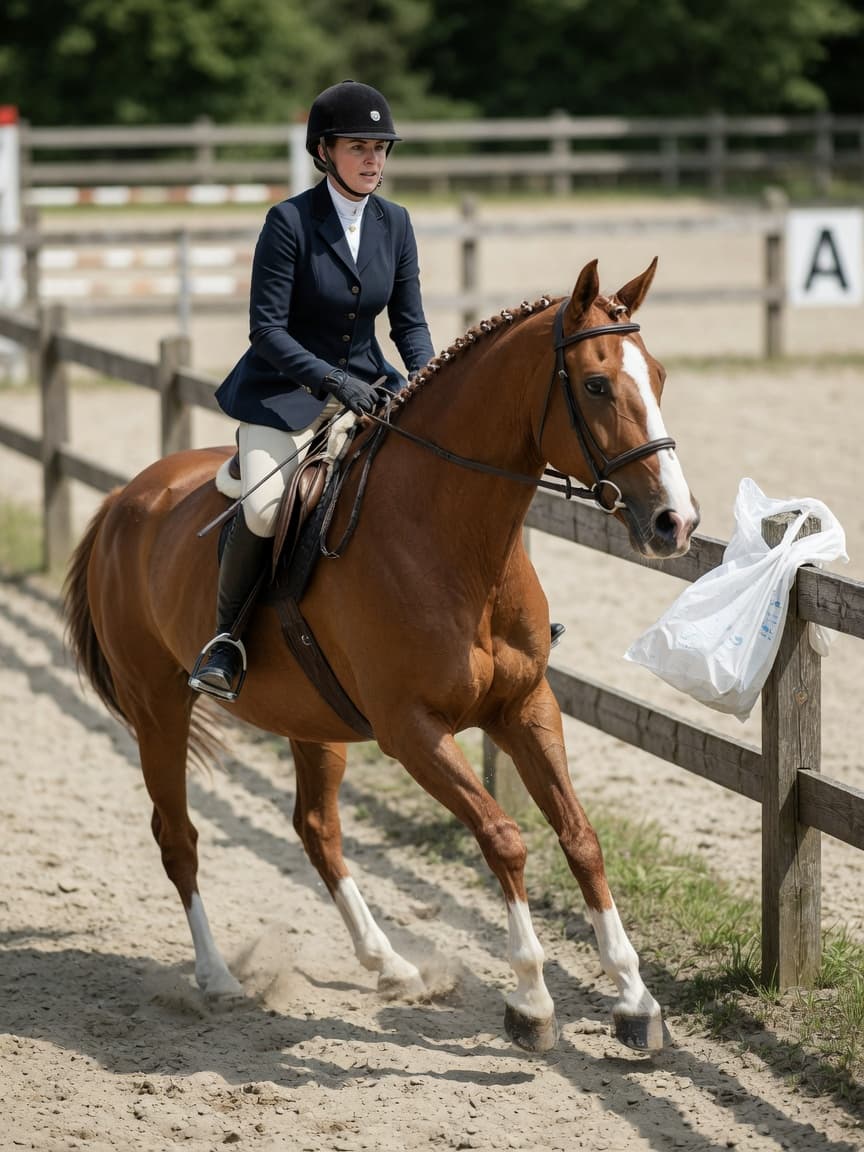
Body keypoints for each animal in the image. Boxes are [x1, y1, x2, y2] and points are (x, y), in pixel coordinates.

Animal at [63, 258, 699, 1054]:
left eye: (660, 376)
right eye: (595, 385)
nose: (676, 523)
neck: (452, 539)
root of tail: (123, 499)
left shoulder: (526, 707)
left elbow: (580, 838)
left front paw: (635, 999)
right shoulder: (413, 731)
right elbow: (504, 838)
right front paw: (530, 1000)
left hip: (312, 720)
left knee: (317, 830)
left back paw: (390, 964)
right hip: (159, 708)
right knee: (178, 837)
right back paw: (218, 979)